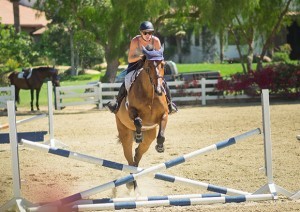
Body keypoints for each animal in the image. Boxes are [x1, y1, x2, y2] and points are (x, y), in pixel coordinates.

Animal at [115, 46, 169, 189]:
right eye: (148, 67)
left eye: (163, 65)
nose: (159, 90)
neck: (150, 95)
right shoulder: (131, 112)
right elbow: (138, 121)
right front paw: (138, 135)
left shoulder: (164, 115)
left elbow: (161, 134)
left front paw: (160, 147)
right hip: (125, 134)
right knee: (129, 159)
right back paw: (131, 183)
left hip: (149, 137)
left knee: (138, 154)